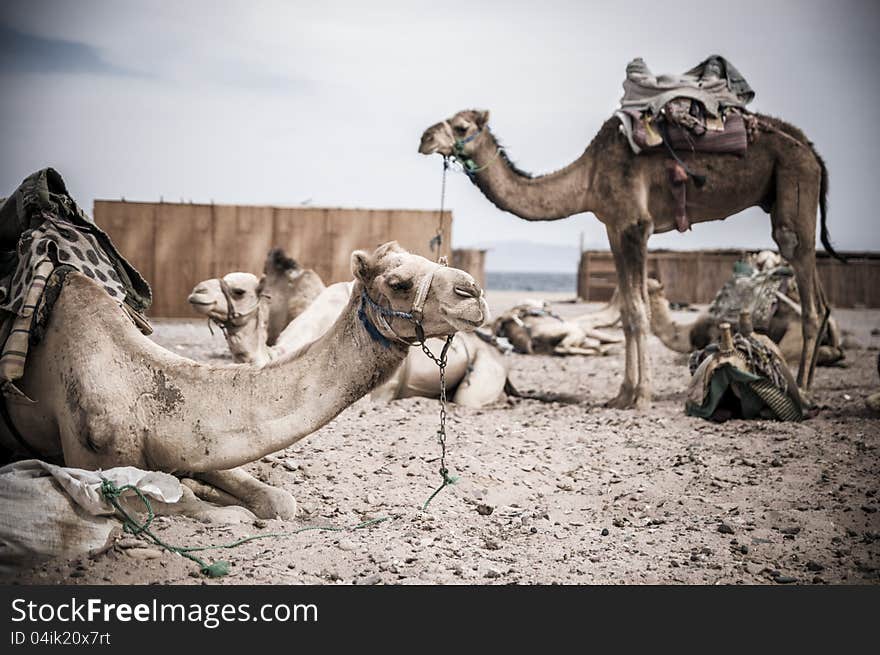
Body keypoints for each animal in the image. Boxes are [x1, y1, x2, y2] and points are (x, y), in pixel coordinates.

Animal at [420, 108, 840, 408]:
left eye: (460, 125)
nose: (425, 138)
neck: (587, 179)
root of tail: (814, 152)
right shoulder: (613, 226)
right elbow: (626, 312)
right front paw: (622, 394)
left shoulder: (636, 225)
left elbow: (638, 311)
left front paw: (641, 396)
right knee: (822, 302)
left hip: (794, 185)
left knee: (806, 284)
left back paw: (804, 394)